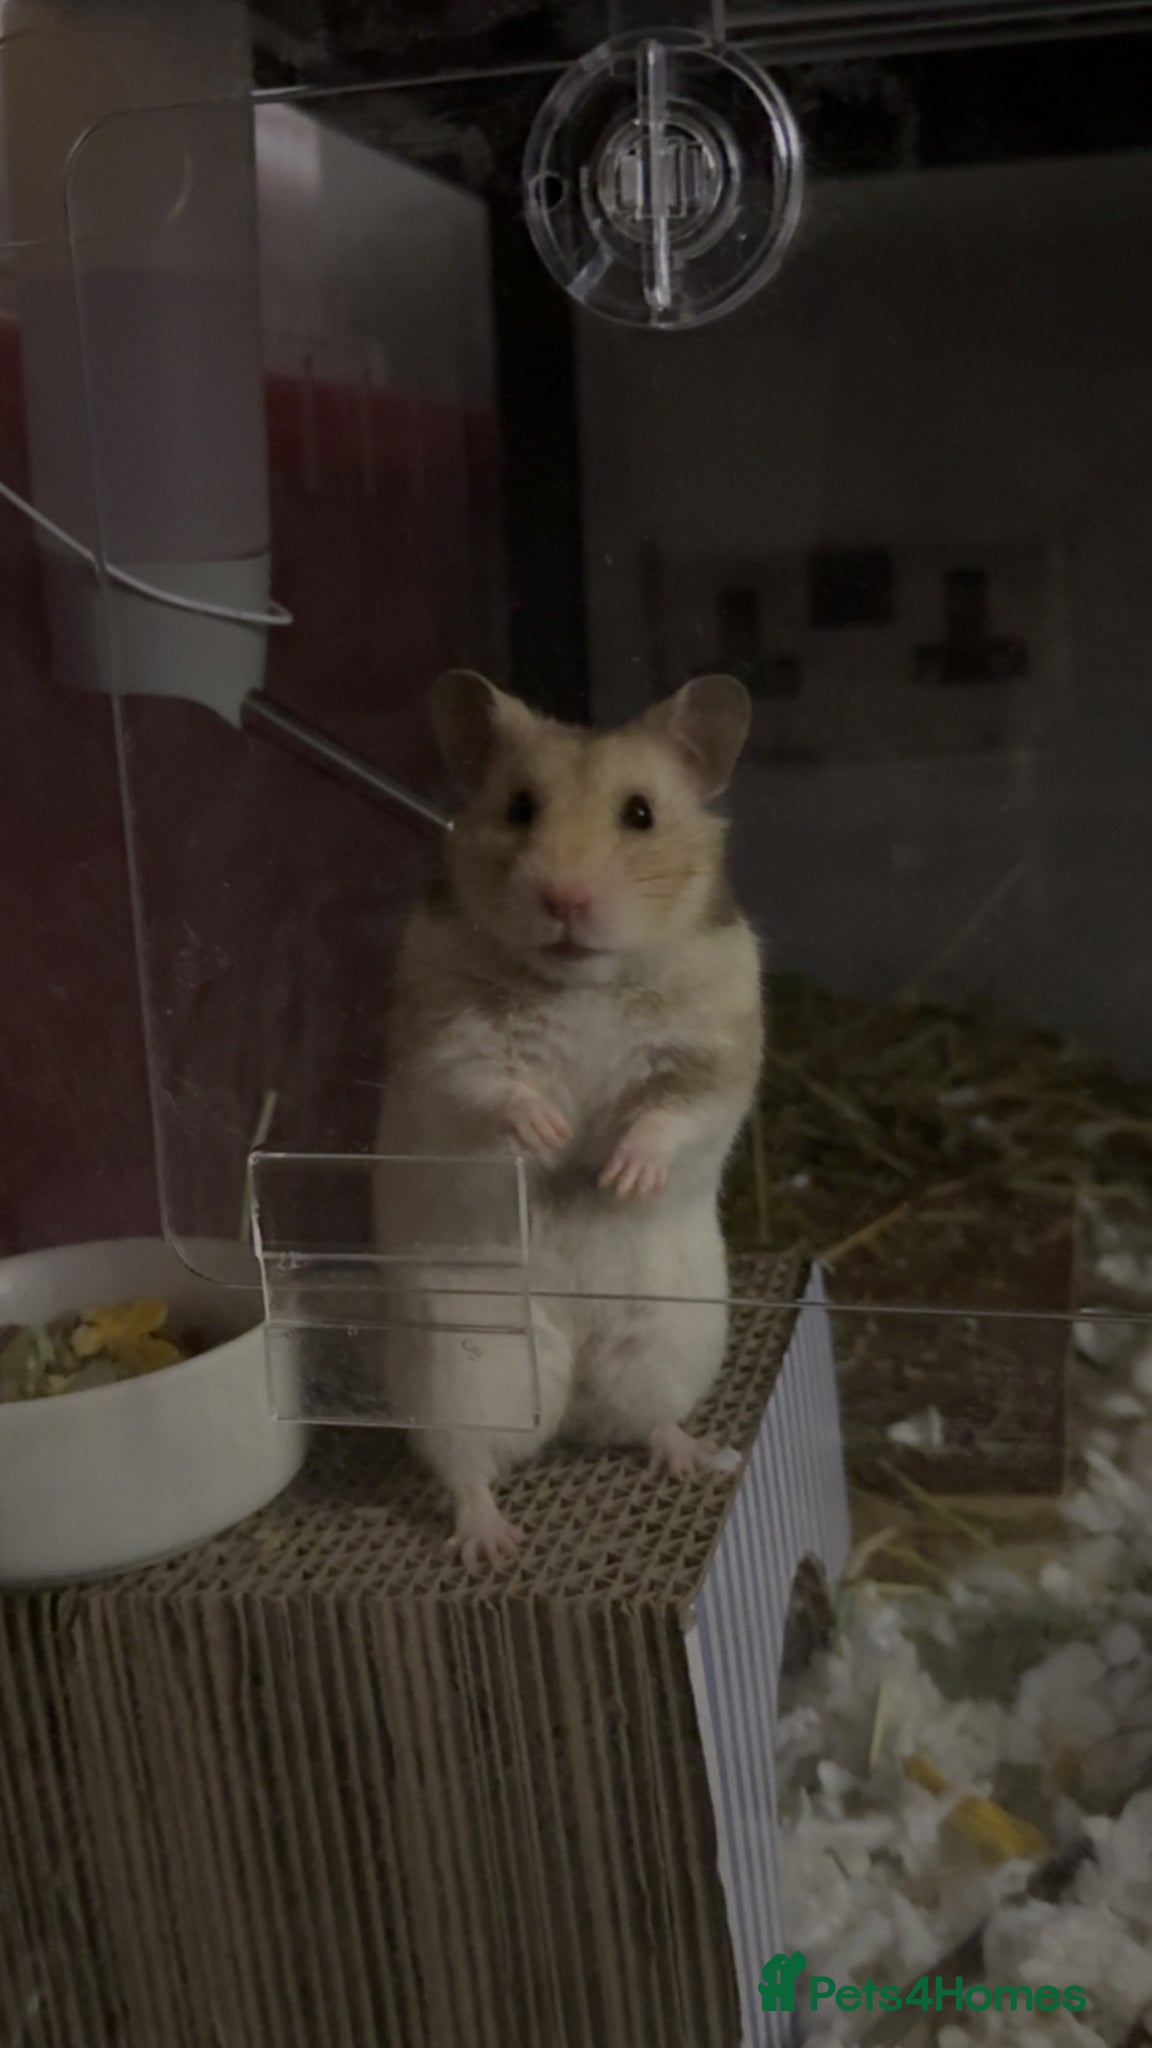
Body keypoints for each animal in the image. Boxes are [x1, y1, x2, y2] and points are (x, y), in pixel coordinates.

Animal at [374, 669, 764, 1566]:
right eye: (520, 807)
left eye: (641, 814)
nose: (565, 897)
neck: (585, 982)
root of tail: (575, 1369)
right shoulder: (448, 1047)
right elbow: (495, 1089)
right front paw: (551, 1132)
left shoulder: (711, 1055)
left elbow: (670, 1114)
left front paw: (620, 1176)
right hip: (470, 1365)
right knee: (468, 1463)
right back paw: (490, 1543)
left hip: (669, 1337)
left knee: (644, 1418)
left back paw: (687, 1458)